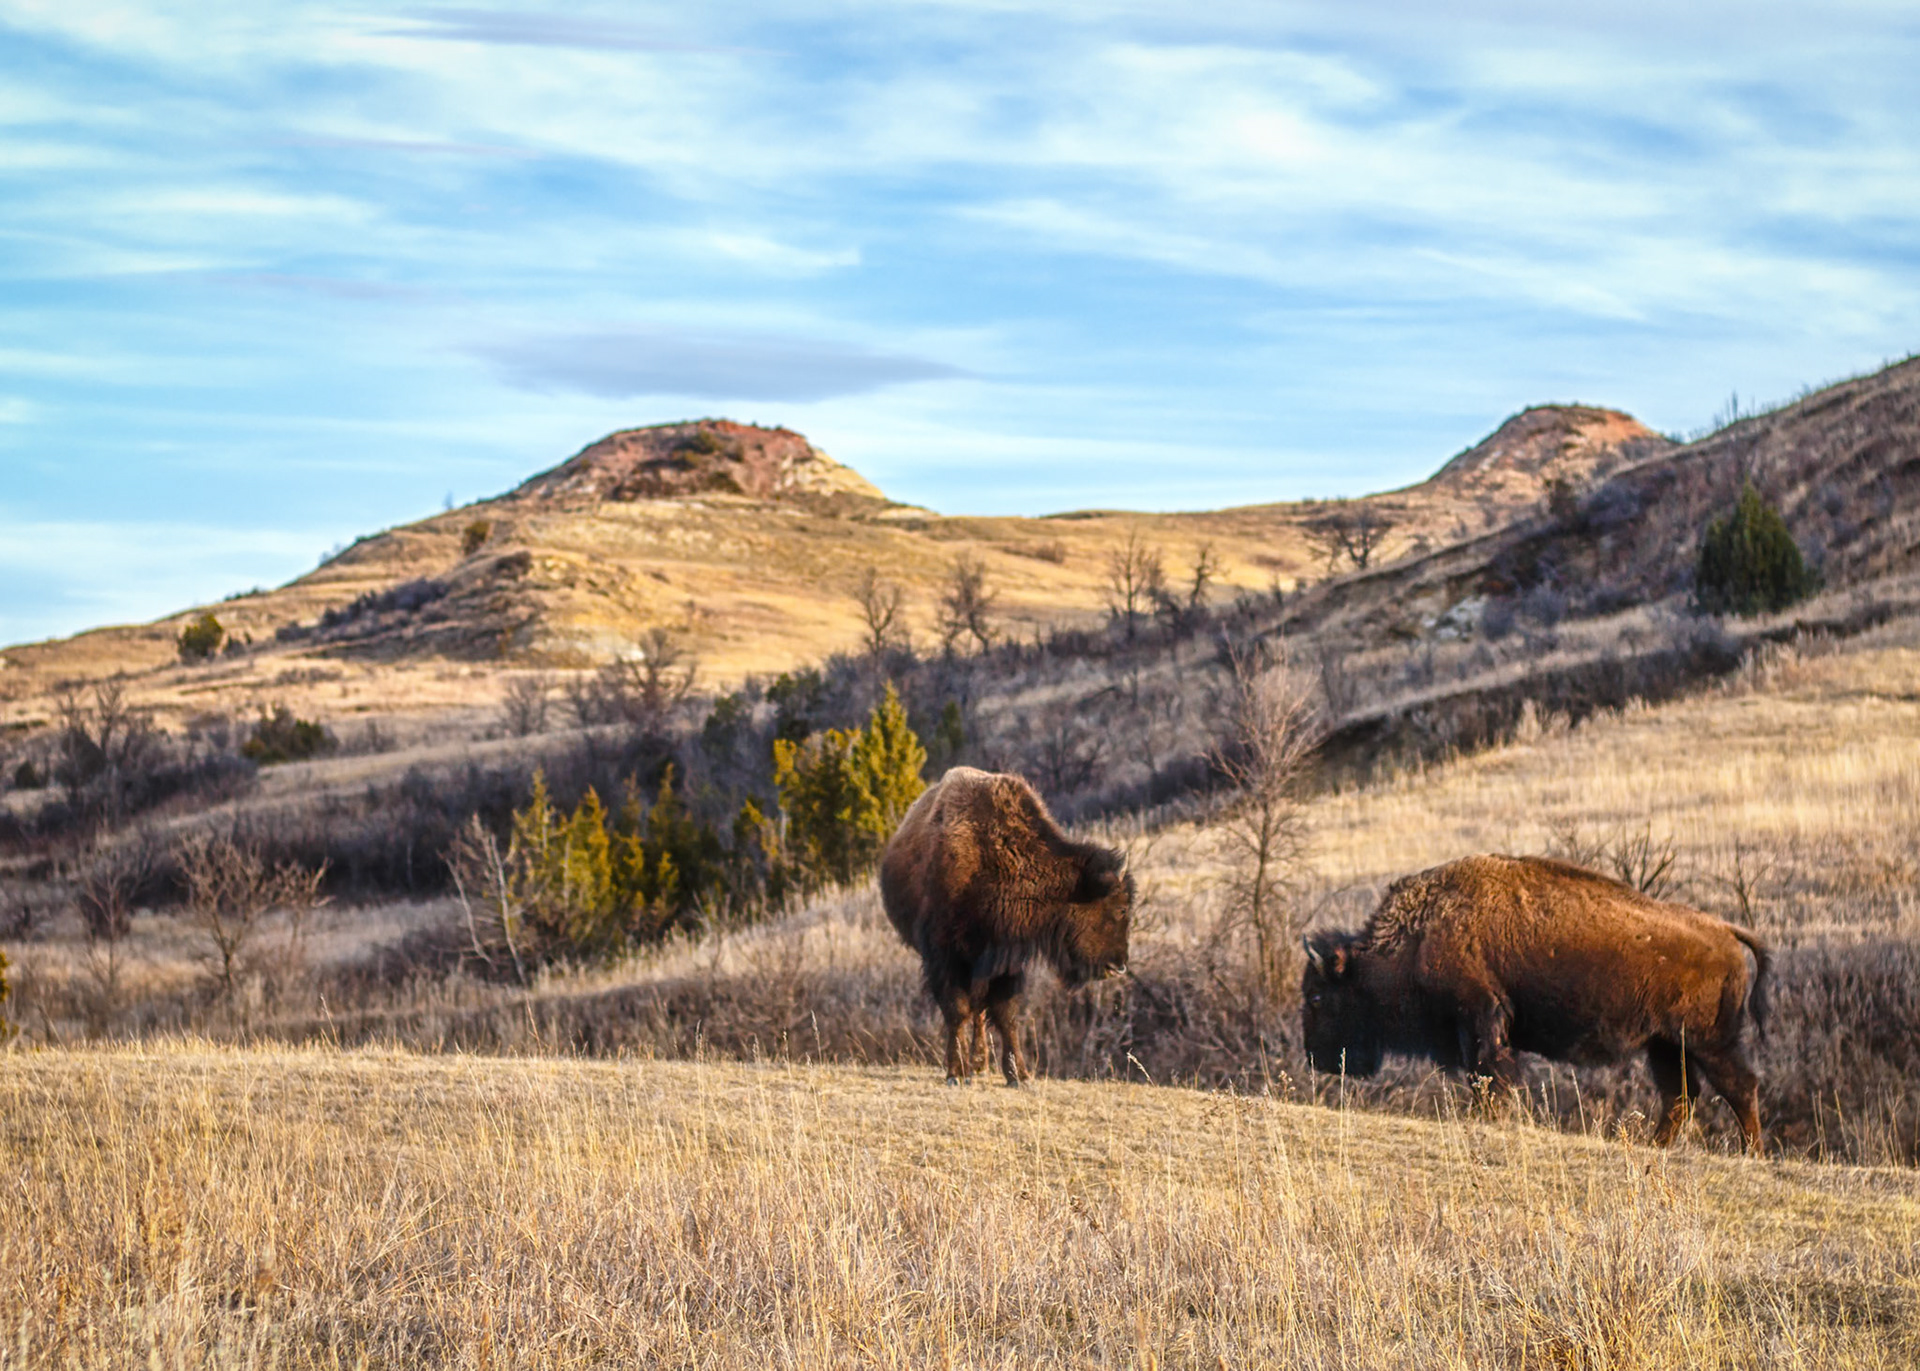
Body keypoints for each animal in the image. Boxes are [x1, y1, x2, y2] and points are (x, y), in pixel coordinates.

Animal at [880, 767, 1132, 1085]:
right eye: (1121, 908)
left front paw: (1019, 1075)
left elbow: (1005, 1013)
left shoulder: (1005, 958)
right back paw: (970, 1067)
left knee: (979, 1008)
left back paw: (979, 1064)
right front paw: (955, 1073)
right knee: (971, 1009)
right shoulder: (945, 955)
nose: (1120, 965)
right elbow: (957, 1010)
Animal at [1302, 854, 1770, 1152]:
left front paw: (1488, 1118)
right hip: (1666, 1045)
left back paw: (1752, 1153)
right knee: (1680, 1096)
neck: (1420, 933)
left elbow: (1489, 1075)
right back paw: (1656, 1147)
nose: (1315, 1058)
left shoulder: (1480, 1018)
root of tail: (1725, 931)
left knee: (1738, 1086)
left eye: (1318, 996)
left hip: (1708, 1041)